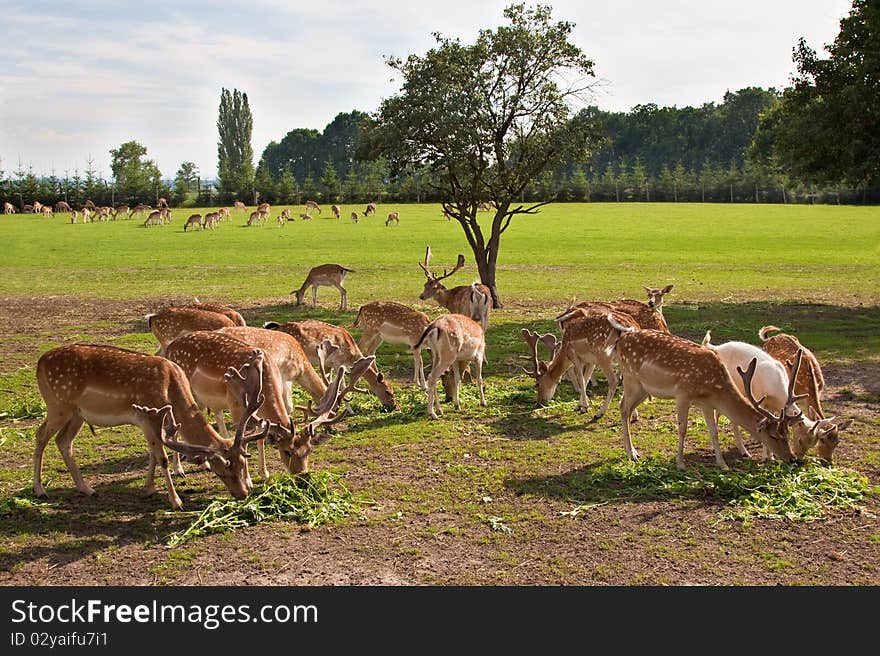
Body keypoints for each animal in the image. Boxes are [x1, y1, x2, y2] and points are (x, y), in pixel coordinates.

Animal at [32, 340, 260, 510]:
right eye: (221, 470)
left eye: (242, 463)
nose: (243, 494)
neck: (171, 388)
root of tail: (39, 362)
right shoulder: (150, 416)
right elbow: (162, 458)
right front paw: (176, 501)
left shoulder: (148, 421)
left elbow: (152, 453)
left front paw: (148, 488)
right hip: (58, 405)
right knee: (40, 434)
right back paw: (40, 489)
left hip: (77, 413)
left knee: (63, 441)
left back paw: (86, 488)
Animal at [262, 320, 398, 410]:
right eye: (387, 391)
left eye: (393, 390)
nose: (395, 406)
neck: (351, 354)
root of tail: (276, 327)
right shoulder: (338, 362)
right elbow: (342, 385)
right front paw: (349, 410)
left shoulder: (328, 364)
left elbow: (329, 381)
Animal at [604, 316, 796, 468]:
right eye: (774, 436)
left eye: (787, 434)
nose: (793, 459)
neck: (714, 388)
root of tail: (621, 340)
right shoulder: (682, 394)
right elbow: (682, 429)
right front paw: (680, 463)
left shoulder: (707, 404)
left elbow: (714, 431)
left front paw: (722, 464)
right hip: (631, 379)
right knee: (623, 408)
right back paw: (632, 454)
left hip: (644, 389)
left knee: (626, 408)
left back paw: (633, 451)